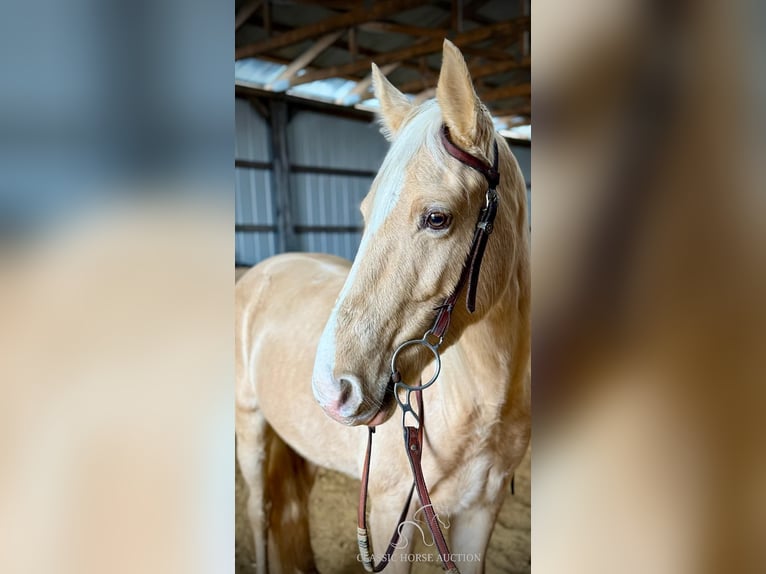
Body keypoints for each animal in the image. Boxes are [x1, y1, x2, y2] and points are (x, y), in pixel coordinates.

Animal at [237, 41, 532, 574]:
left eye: (436, 218)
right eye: (364, 211)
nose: (332, 391)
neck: (483, 401)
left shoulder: (483, 510)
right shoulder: (392, 514)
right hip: (248, 424)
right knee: (260, 510)